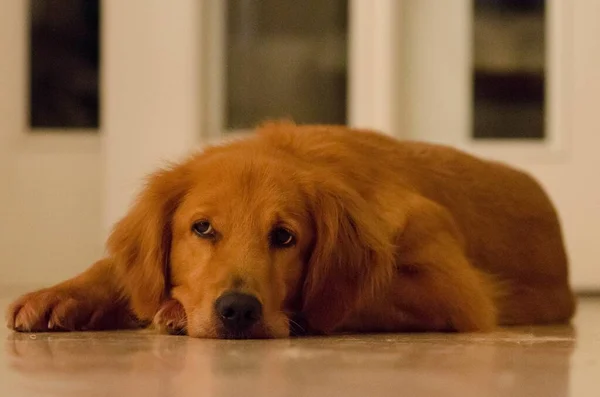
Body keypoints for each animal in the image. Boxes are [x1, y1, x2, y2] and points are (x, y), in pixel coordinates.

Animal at [4, 121, 576, 338]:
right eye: (202, 228)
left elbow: (359, 295)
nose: (237, 311)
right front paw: (64, 294)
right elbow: (116, 269)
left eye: (284, 237)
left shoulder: (456, 291)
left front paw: (172, 310)